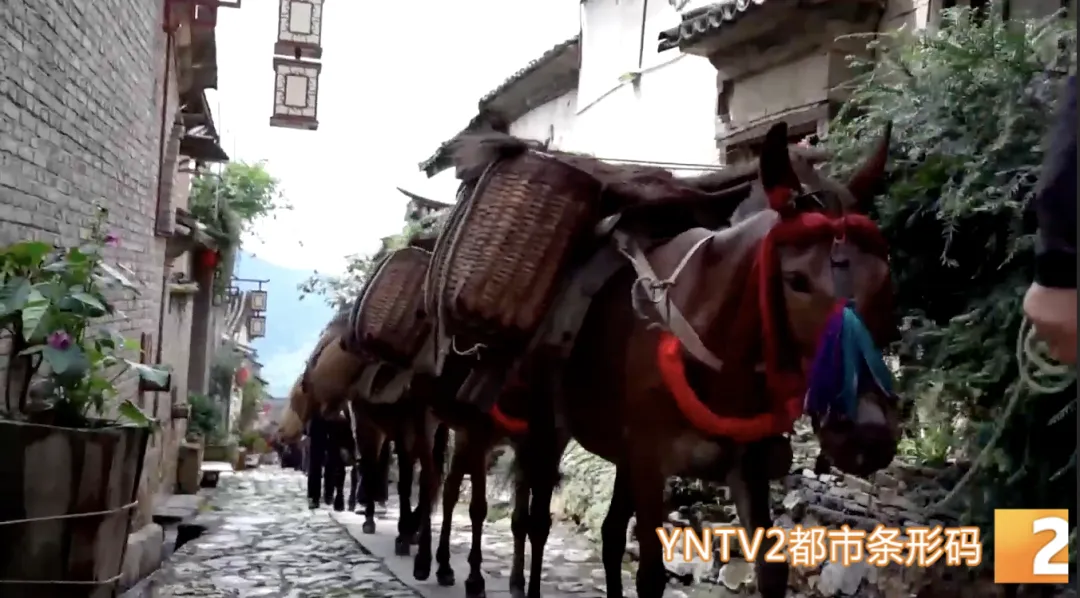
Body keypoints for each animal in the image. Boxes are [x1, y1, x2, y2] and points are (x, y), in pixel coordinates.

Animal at [449, 121, 904, 598]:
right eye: (795, 280)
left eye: (884, 276)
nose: (867, 435)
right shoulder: (651, 462)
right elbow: (650, 574)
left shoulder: (747, 467)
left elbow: (771, 569)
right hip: (545, 427)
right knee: (533, 520)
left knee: (608, 534)